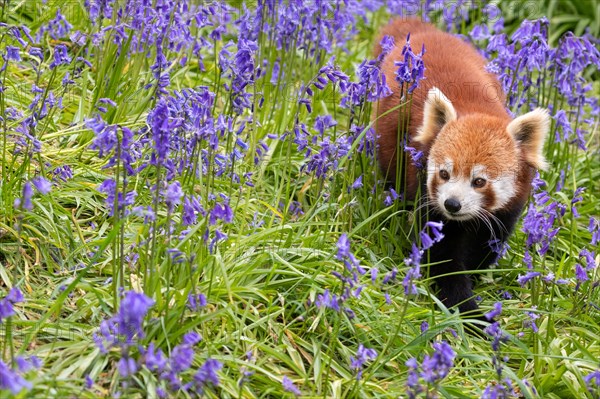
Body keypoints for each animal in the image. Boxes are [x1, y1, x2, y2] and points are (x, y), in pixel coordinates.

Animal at [376, 18, 548, 322]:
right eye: (444, 174)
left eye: (479, 181)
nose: (452, 204)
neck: (477, 109)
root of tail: (425, 30)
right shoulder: (428, 196)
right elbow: (443, 257)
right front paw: (469, 313)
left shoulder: (508, 208)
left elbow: (488, 242)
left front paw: (476, 273)